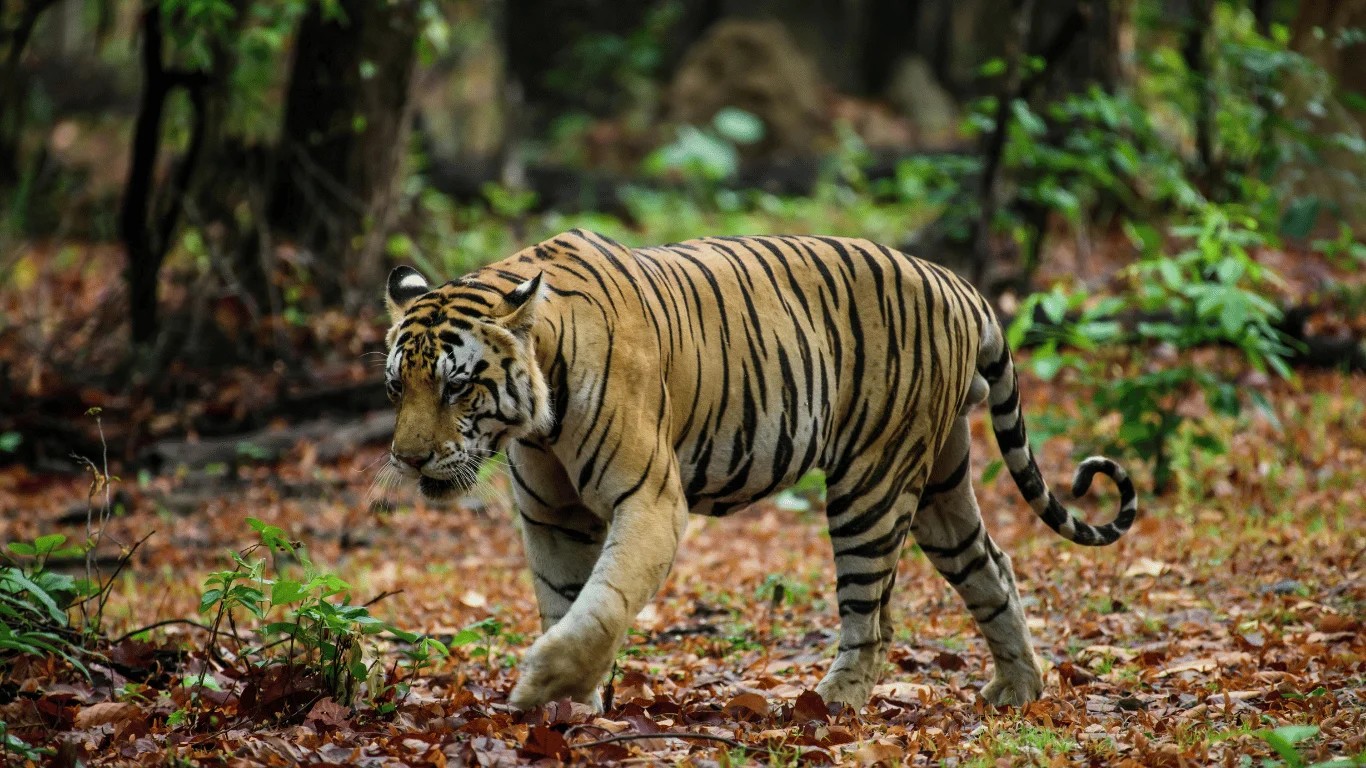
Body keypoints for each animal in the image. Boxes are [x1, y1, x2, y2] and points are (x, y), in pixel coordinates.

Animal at [378, 229, 1137, 712]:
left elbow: (604, 601)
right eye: (395, 387)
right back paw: (1019, 690)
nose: (408, 460)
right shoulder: (553, 516)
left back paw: (829, 705)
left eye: (455, 386)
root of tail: (956, 283)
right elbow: (565, 600)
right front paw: (569, 708)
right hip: (939, 485)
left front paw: (542, 685)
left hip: (872, 481)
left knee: (872, 617)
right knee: (992, 567)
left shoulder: (650, 499)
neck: (537, 418)